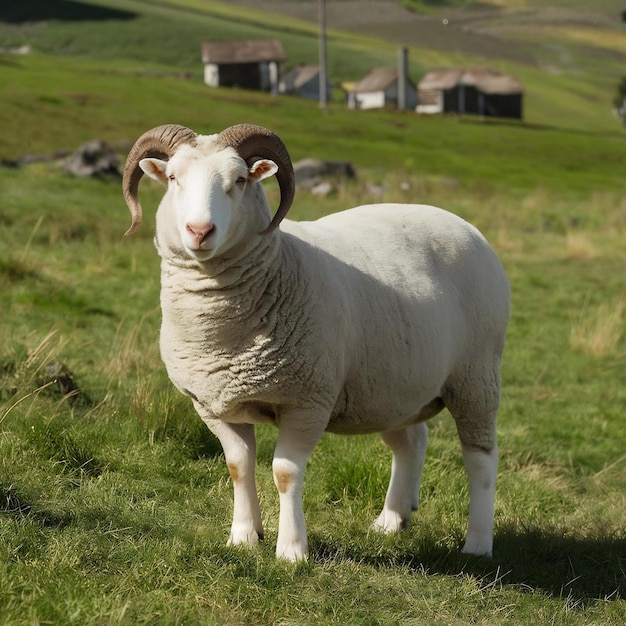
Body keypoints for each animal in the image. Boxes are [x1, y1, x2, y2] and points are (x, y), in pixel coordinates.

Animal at [120, 123, 508, 560]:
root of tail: (463, 224)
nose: (200, 231)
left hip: (476, 376)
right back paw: (391, 521)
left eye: (240, 180)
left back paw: (478, 544)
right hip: (391, 385)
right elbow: (238, 466)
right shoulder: (213, 404)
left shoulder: (307, 401)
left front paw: (291, 550)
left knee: (481, 459)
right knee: (410, 440)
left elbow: (285, 473)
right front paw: (243, 536)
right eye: (173, 178)